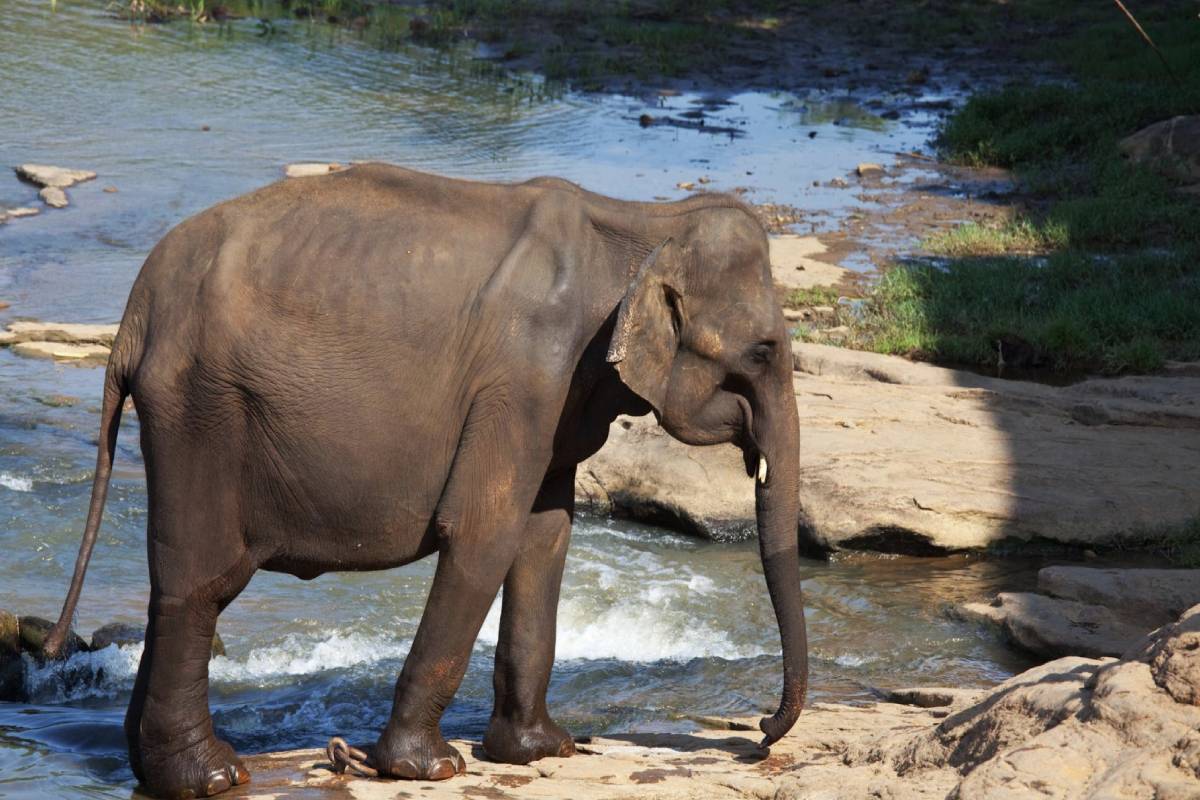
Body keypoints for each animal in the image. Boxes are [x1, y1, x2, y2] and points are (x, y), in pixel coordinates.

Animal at [43, 163, 808, 799]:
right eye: (764, 351)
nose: (760, 733)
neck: (643, 223)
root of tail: (135, 311)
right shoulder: (524, 379)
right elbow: (485, 536)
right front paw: (431, 767)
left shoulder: (556, 394)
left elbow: (545, 538)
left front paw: (543, 750)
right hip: (200, 409)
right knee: (201, 583)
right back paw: (211, 778)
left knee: (173, 585)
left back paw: (157, 770)